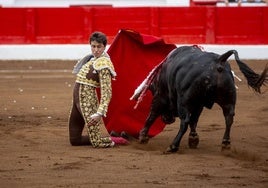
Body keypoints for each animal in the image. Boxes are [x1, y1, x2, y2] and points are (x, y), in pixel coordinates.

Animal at [135, 45, 266, 153]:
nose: (168, 120)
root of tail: (218, 61)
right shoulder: (199, 104)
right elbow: (195, 120)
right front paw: (193, 139)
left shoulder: (161, 96)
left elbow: (152, 115)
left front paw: (143, 136)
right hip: (228, 99)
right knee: (228, 118)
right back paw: (225, 144)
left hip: (183, 102)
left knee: (185, 121)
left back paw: (173, 146)